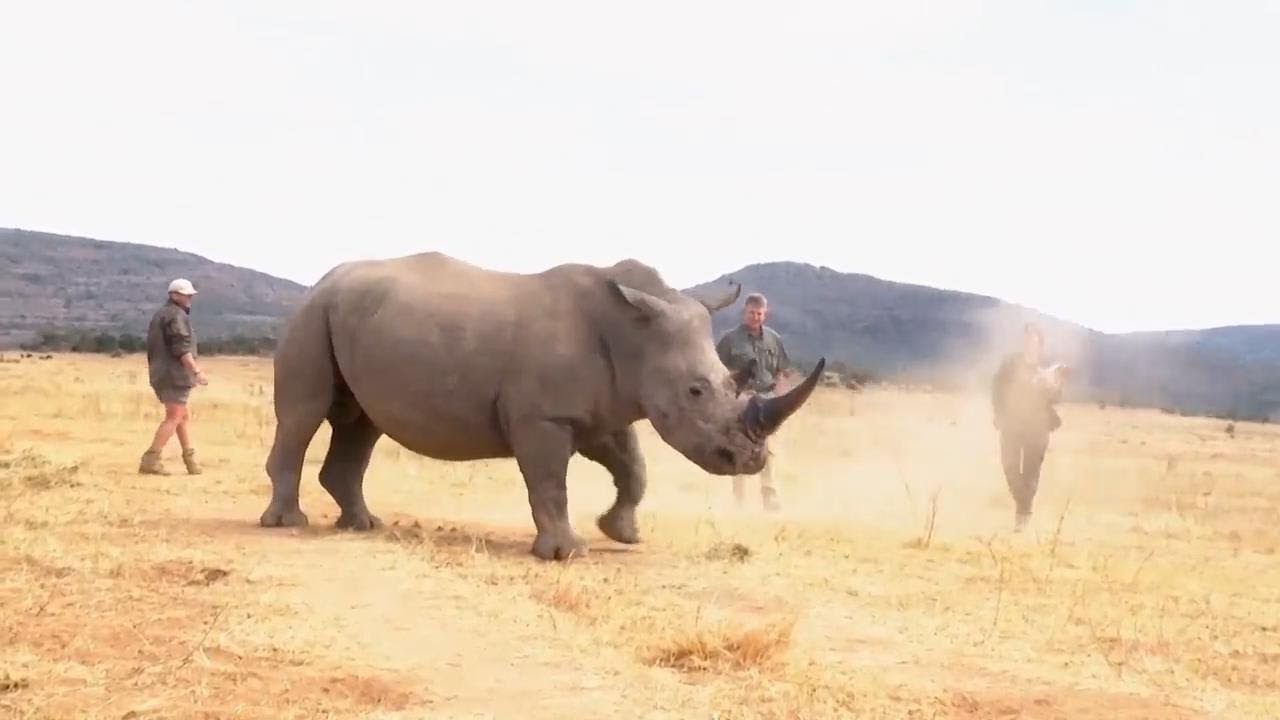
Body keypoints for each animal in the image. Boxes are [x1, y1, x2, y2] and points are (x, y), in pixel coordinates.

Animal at [259, 252, 825, 560]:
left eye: (732, 382)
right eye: (696, 391)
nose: (751, 460)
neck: (633, 332)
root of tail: (323, 280)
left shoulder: (602, 410)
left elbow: (633, 468)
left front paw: (622, 533)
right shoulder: (544, 417)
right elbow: (551, 482)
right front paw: (565, 553)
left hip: (352, 318)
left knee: (362, 424)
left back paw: (362, 525)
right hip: (311, 314)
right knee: (305, 414)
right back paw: (288, 524)